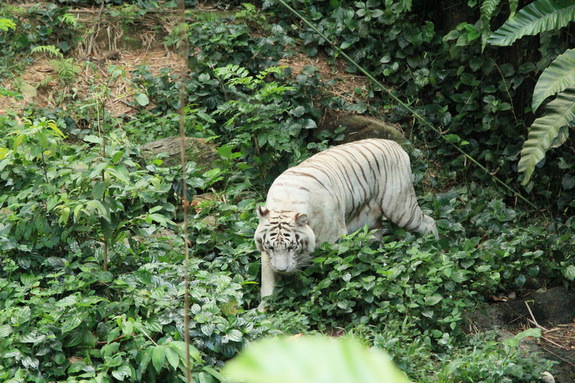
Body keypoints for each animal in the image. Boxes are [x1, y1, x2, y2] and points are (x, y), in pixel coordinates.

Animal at [254, 140, 438, 310]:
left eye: (292, 247)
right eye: (271, 248)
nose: (281, 270)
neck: (286, 206)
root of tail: (395, 144)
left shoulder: (332, 241)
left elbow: (333, 269)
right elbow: (267, 280)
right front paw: (263, 310)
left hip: (400, 208)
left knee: (429, 222)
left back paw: (434, 249)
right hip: (371, 222)